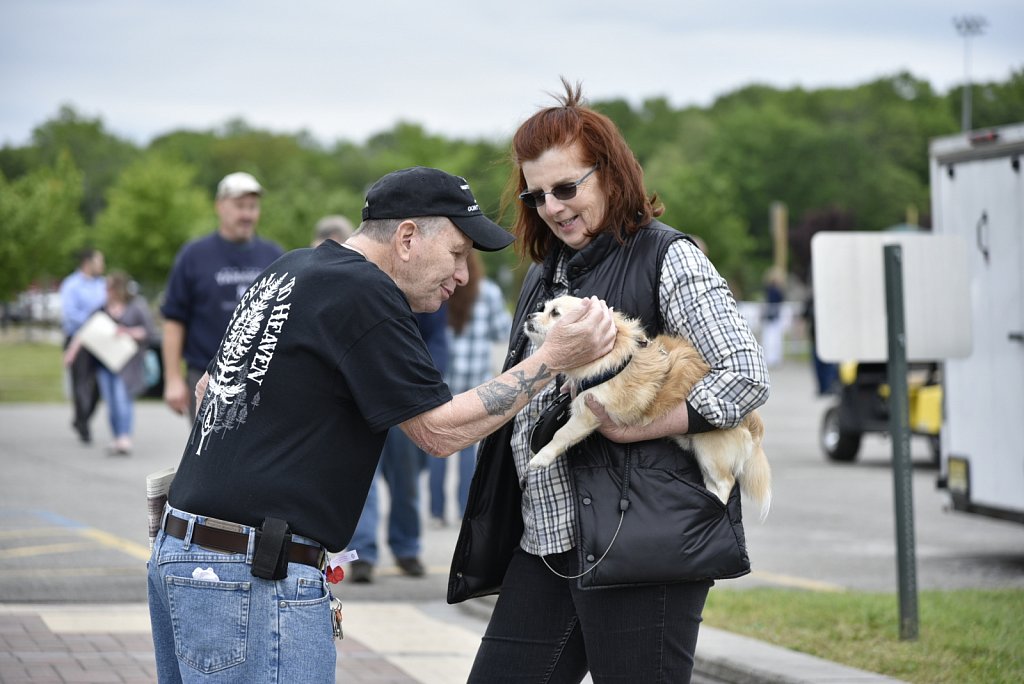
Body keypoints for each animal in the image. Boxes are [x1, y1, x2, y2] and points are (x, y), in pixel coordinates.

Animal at [524, 294, 770, 518]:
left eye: (555, 313)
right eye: (543, 307)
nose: (529, 315)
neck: (610, 352)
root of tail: (753, 422)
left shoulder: (588, 413)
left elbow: (562, 435)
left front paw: (541, 457)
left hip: (710, 450)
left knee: (725, 481)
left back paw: (714, 501)